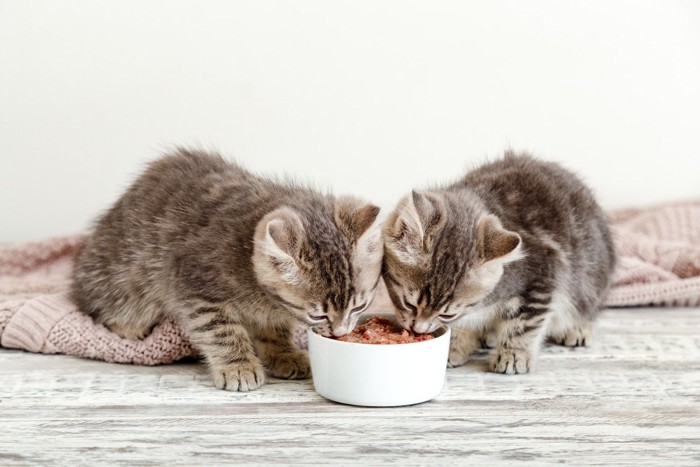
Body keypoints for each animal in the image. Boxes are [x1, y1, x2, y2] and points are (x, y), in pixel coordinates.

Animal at [71, 149, 382, 392]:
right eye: (318, 315)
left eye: (359, 307)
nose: (341, 333)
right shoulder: (194, 285)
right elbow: (221, 331)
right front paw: (238, 366)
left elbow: (273, 329)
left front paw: (283, 354)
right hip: (122, 276)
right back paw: (128, 326)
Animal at [380, 152, 616, 374]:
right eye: (409, 303)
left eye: (448, 314)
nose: (418, 330)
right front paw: (455, 346)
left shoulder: (542, 273)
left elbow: (525, 322)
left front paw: (514, 354)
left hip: (591, 279)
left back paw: (578, 328)